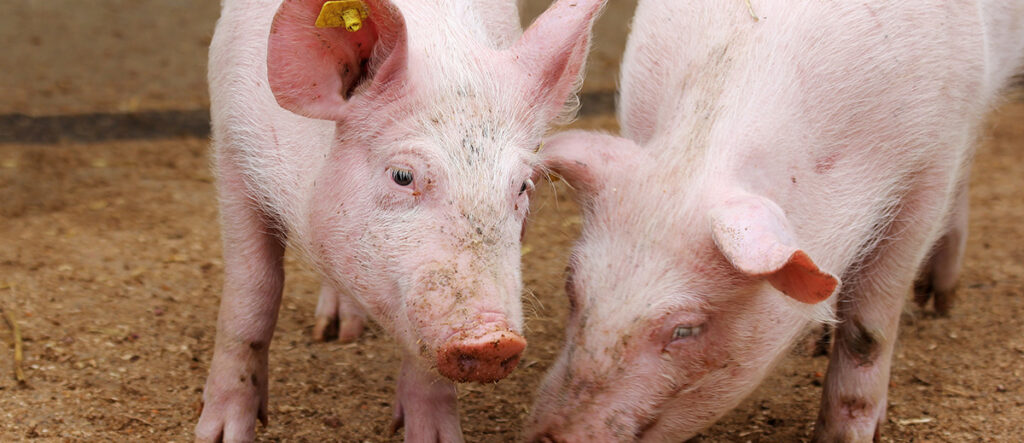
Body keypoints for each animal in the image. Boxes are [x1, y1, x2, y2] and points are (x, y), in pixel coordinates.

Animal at [194, 0, 602, 439]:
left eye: (523, 185)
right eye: (402, 176)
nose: (494, 340)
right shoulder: (233, 150)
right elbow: (252, 290)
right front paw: (217, 435)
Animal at [528, 1, 1024, 439]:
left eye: (686, 328)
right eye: (571, 287)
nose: (550, 436)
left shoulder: (929, 169)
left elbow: (869, 330)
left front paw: (841, 438)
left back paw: (938, 301)